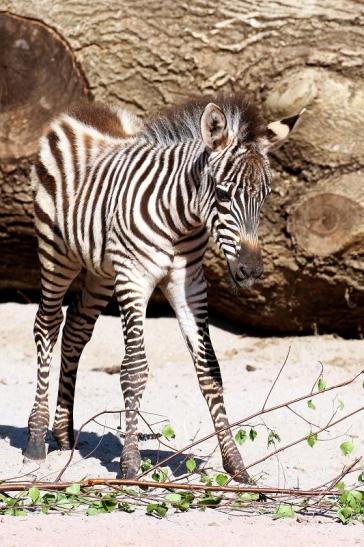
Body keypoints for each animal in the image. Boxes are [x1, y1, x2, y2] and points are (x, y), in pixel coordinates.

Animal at [24, 96, 302, 482]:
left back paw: (64, 435)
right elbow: (134, 370)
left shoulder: (189, 285)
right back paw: (36, 439)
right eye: (222, 194)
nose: (250, 271)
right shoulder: (134, 278)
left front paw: (236, 465)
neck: (181, 221)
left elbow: (210, 370)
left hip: (101, 270)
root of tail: (82, 110)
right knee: (47, 325)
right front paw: (129, 465)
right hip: (56, 250)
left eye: (264, 197)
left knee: (76, 330)